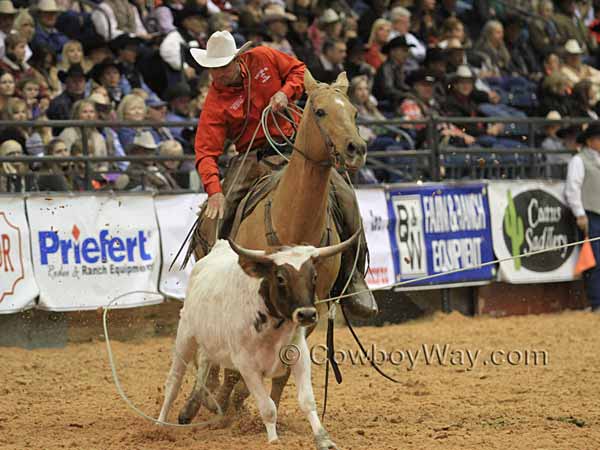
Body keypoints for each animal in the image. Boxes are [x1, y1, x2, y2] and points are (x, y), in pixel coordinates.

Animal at [176, 70, 368, 436]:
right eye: (320, 111)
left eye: (353, 111)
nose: (356, 148)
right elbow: (236, 365)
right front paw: (226, 405)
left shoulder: (313, 306)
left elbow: (286, 365)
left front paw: (259, 407)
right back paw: (202, 401)